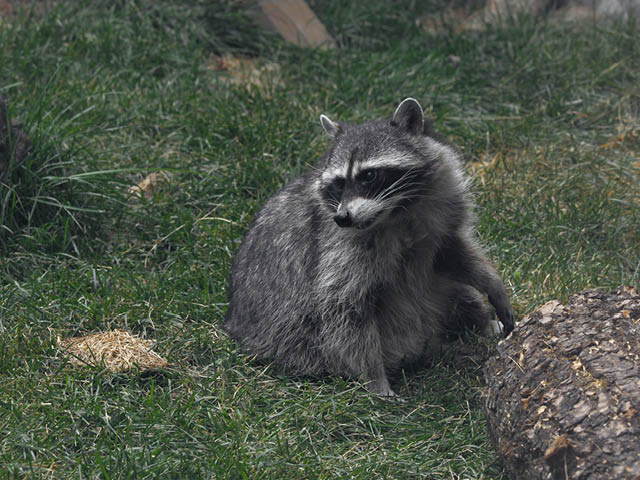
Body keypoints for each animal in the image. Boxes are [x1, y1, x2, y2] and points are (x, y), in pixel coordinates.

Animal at [223, 98, 514, 397]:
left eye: (369, 175)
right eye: (339, 183)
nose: (342, 218)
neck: (398, 210)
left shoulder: (439, 218)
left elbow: (453, 256)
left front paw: (493, 286)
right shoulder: (339, 247)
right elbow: (343, 308)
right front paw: (375, 379)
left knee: (454, 288)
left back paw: (480, 323)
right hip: (298, 342)